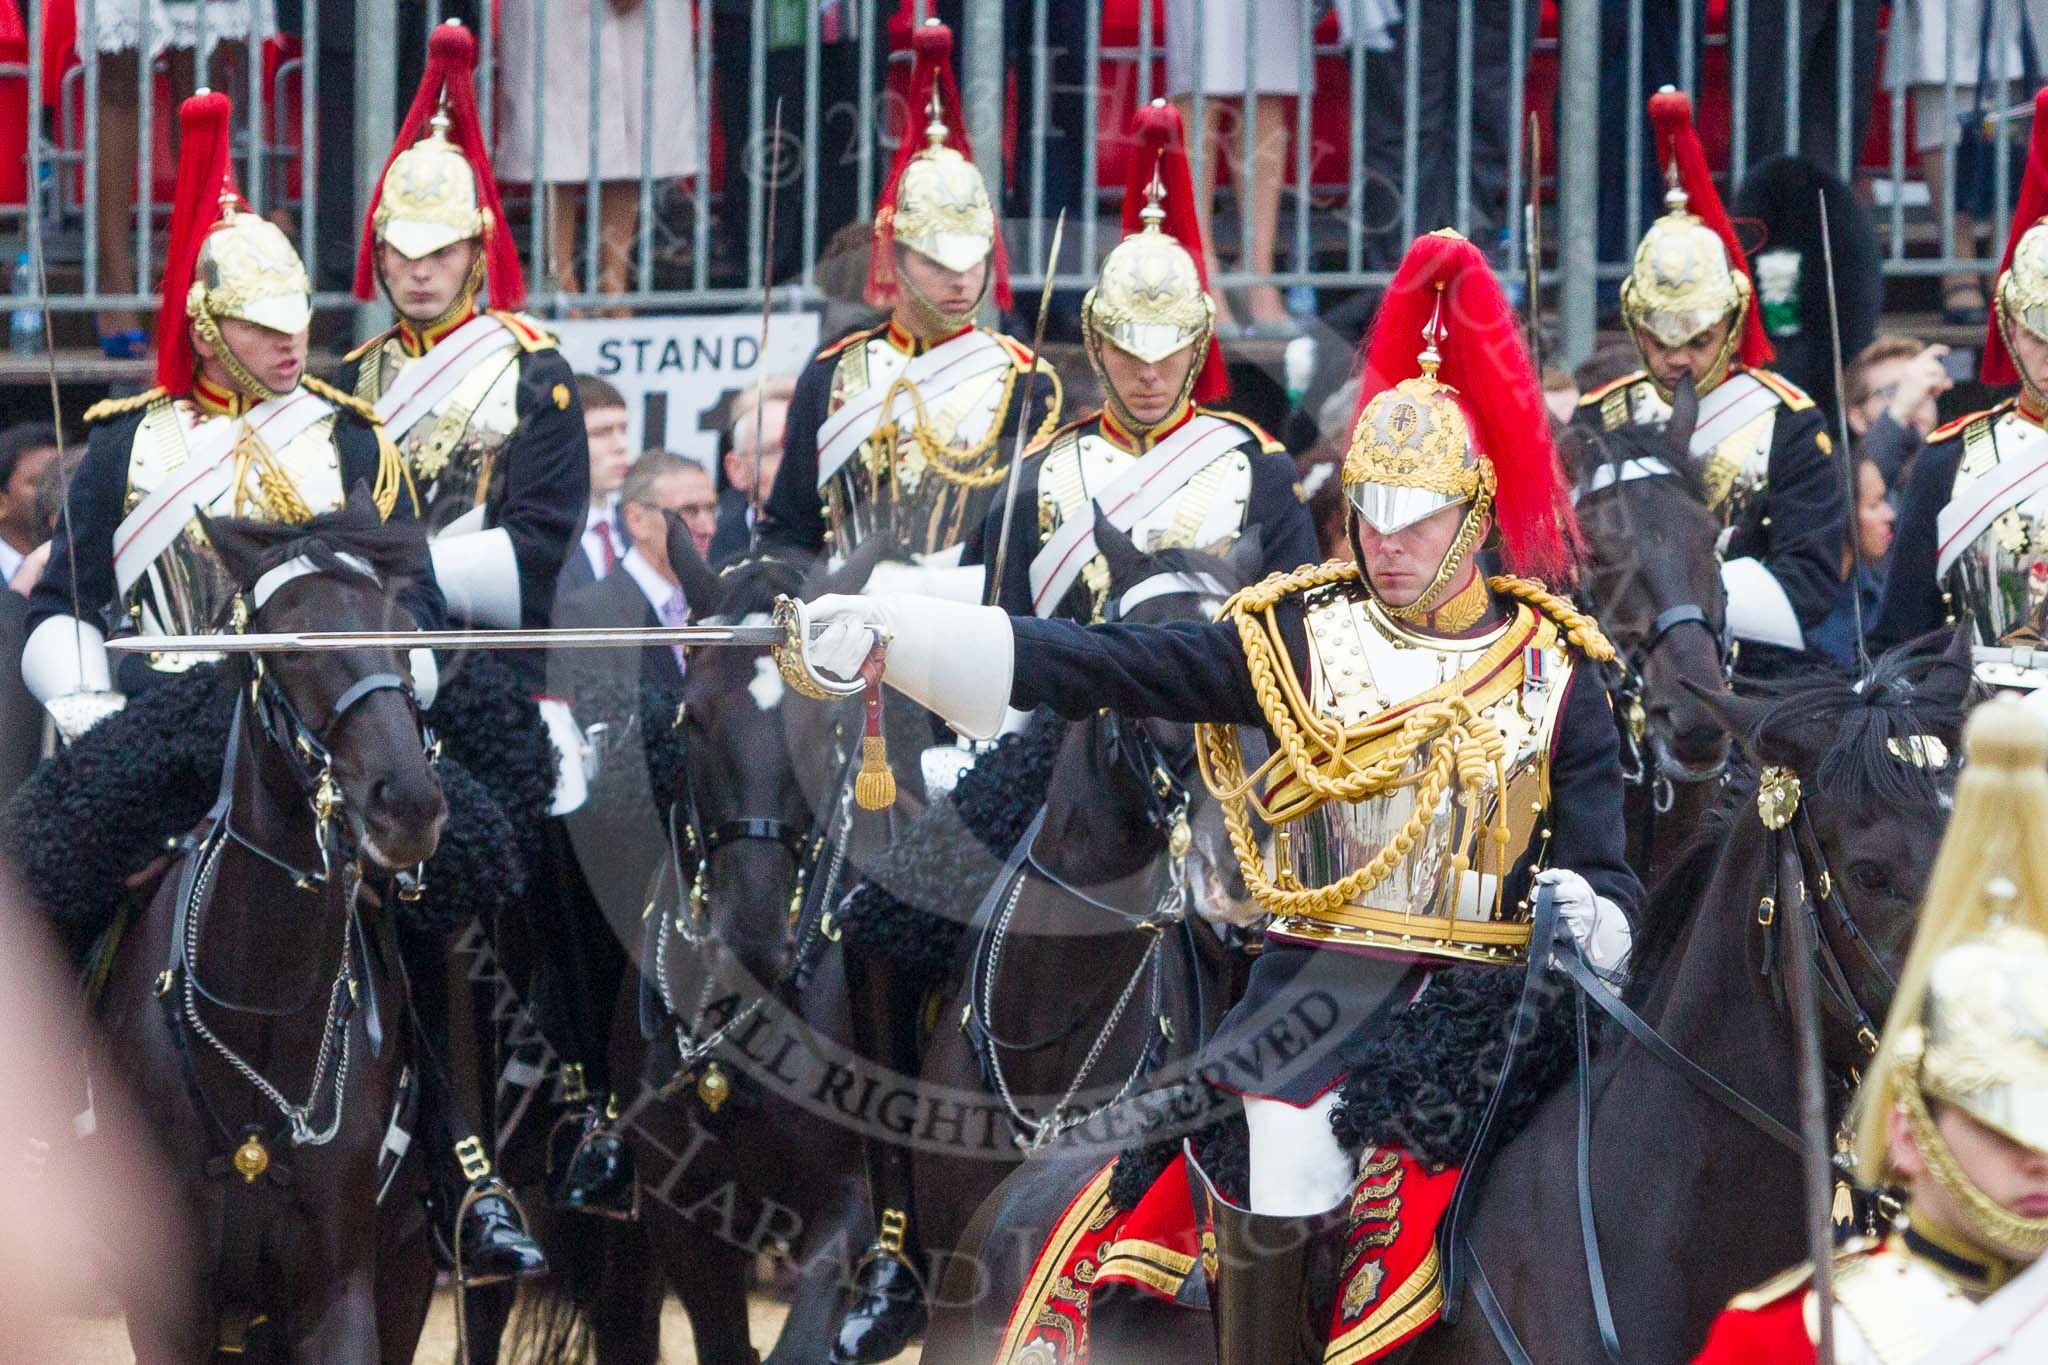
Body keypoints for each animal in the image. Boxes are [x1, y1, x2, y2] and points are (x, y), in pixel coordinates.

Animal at [95, 501, 444, 1365]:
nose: (409, 803)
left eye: (404, 632)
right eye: (289, 640)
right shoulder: (166, 1305)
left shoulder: (342, 1291)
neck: (263, 1007)